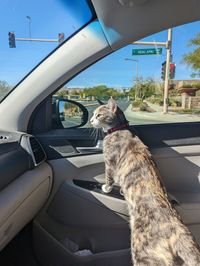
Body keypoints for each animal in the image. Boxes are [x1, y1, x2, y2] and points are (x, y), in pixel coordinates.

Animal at [90, 98, 200, 266]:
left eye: (99, 115)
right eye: (94, 114)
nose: (90, 120)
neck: (118, 129)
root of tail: (178, 231)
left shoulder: (109, 162)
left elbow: (109, 177)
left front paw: (106, 188)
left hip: (143, 253)